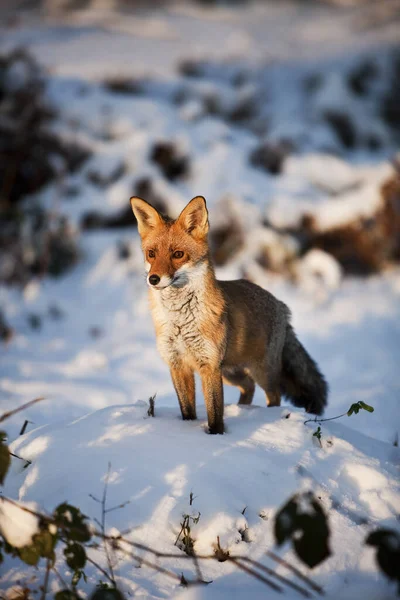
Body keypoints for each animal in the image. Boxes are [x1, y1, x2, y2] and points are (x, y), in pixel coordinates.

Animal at [131, 197, 328, 436]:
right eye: (151, 253)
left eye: (178, 254)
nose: (153, 279)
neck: (180, 322)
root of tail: (281, 305)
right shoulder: (178, 364)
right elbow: (187, 410)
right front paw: (187, 429)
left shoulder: (209, 365)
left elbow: (215, 413)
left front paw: (216, 436)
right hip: (230, 372)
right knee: (248, 387)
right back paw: (242, 409)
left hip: (261, 371)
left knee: (274, 395)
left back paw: (267, 416)